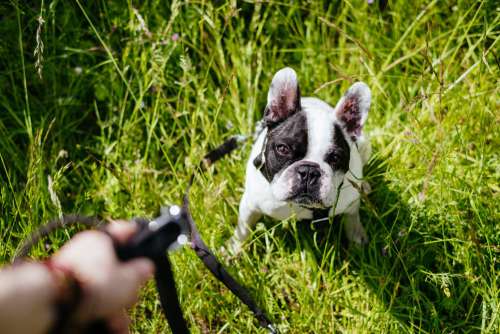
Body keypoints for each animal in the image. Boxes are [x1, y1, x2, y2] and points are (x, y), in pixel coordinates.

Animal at [229, 69, 372, 254]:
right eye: (283, 149)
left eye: (335, 158)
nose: (309, 171)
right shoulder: (250, 205)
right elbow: (243, 229)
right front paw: (233, 249)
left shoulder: (351, 204)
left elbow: (353, 220)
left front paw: (358, 242)